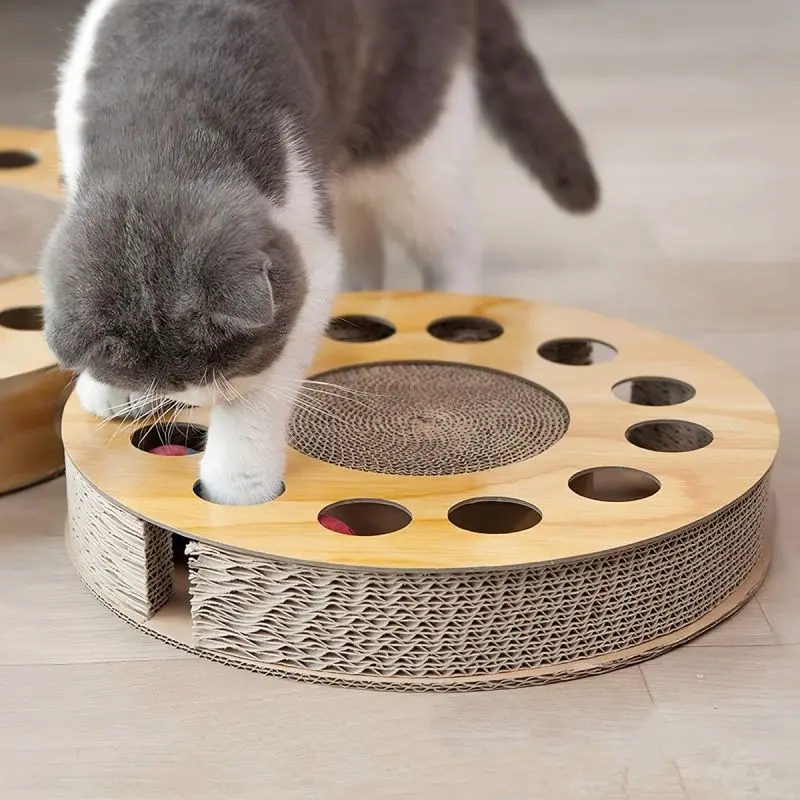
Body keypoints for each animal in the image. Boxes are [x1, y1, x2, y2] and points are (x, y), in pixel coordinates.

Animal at [40, 0, 596, 506]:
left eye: (232, 362)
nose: (201, 400)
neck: (165, 121)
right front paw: (103, 387)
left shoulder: (306, 246)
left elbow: (268, 383)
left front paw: (236, 485)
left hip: (412, 145)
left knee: (450, 238)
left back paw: (456, 316)